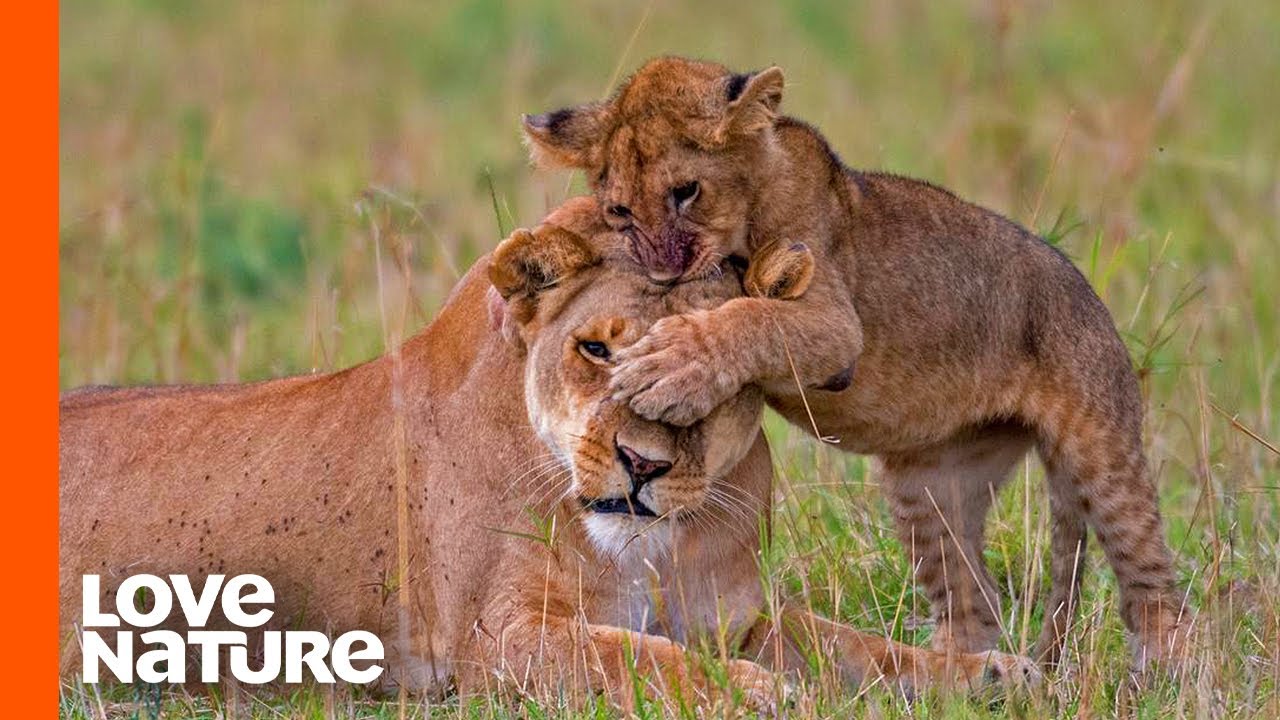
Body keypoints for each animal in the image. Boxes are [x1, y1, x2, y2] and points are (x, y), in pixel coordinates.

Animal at [60, 199, 1036, 711]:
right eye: (596, 350)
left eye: (712, 373)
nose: (644, 465)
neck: (654, 546)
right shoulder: (498, 644)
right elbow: (640, 659)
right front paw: (756, 693)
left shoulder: (736, 613)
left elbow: (857, 647)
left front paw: (991, 671)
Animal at [520, 57, 1190, 668]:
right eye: (619, 211)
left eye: (686, 192)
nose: (661, 271)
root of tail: (1087, 292)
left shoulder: (838, 328)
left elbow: (751, 318)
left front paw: (666, 367)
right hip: (933, 490)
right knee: (973, 603)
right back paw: (961, 675)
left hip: (1099, 452)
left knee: (1153, 581)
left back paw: (1161, 674)